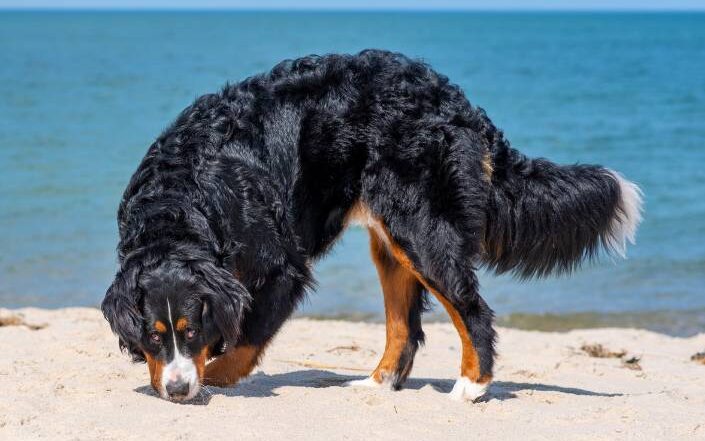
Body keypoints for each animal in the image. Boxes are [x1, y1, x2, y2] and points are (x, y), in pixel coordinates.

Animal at [102, 49, 640, 402]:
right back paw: (376, 383)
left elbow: (246, 339)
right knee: (405, 328)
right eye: (154, 336)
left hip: (422, 233)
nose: (176, 391)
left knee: (473, 311)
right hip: (393, 243)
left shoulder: (281, 268)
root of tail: (457, 102)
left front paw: (211, 374)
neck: (182, 202)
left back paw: (471, 385)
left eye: (190, 331)